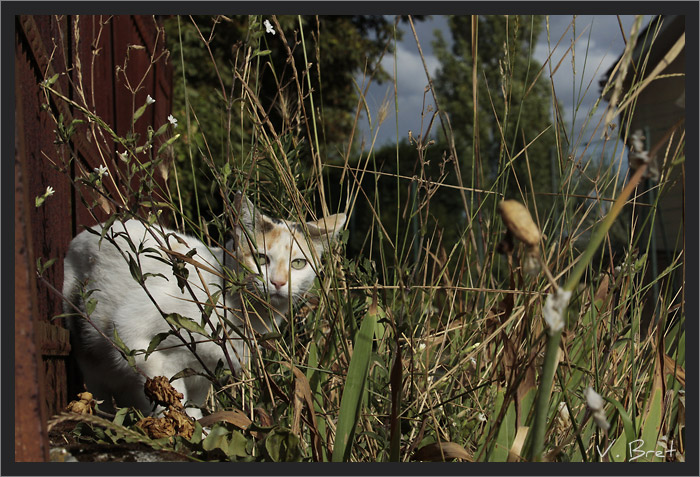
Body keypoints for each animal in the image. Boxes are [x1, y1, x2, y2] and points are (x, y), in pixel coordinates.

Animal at [61, 193, 346, 416]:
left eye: (298, 263)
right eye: (261, 259)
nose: (277, 282)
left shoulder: (203, 375)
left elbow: (192, 403)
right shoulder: (133, 335)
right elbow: (170, 396)